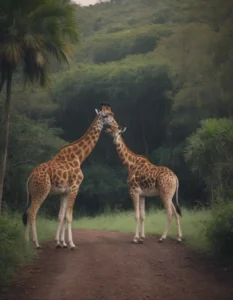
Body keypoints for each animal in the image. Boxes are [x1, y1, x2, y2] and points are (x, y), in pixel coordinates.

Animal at [22, 104, 118, 250]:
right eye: (106, 115)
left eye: (112, 114)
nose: (116, 126)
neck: (79, 157)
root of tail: (30, 176)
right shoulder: (75, 187)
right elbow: (69, 216)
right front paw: (71, 244)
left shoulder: (64, 192)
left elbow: (61, 216)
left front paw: (60, 243)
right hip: (41, 191)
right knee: (32, 212)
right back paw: (36, 243)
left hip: (33, 194)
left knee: (28, 212)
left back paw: (26, 242)